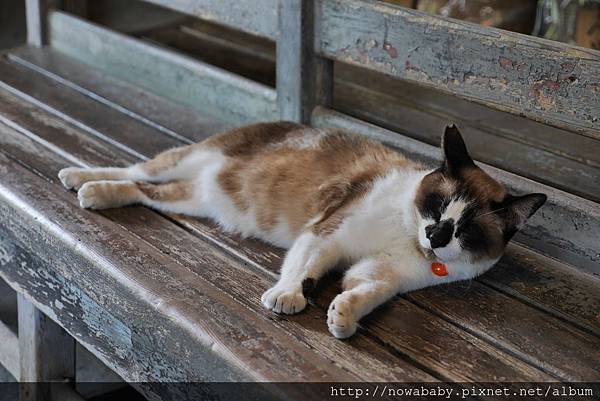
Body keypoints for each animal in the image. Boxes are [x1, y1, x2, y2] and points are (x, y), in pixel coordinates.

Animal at [58, 122, 548, 338]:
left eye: (465, 230)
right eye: (438, 205)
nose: (436, 237)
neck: (408, 239)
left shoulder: (380, 274)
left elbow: (366, 291)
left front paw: (343, 316)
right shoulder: (326, 234)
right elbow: (301, 268)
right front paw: (289, 297)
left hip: (192, 199)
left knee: (143, 190)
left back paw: (97, 192)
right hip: (184, 161)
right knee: (135, 169)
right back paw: (80, 178)